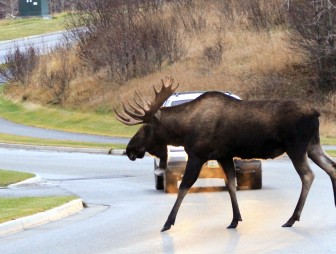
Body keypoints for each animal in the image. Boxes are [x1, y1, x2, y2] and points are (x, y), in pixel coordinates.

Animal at [115, 76, 336, 231]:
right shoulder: (224, 155)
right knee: (331, 166)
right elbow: (231, 184)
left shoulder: (198, 155)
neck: (183, 130)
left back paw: (291, 219)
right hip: (313, 145)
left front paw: (167, 223)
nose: (130, 149)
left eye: (146, 128)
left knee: (308, 175)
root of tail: (315, 112)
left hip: (296, 147)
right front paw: (234, 220)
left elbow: (184, 187)